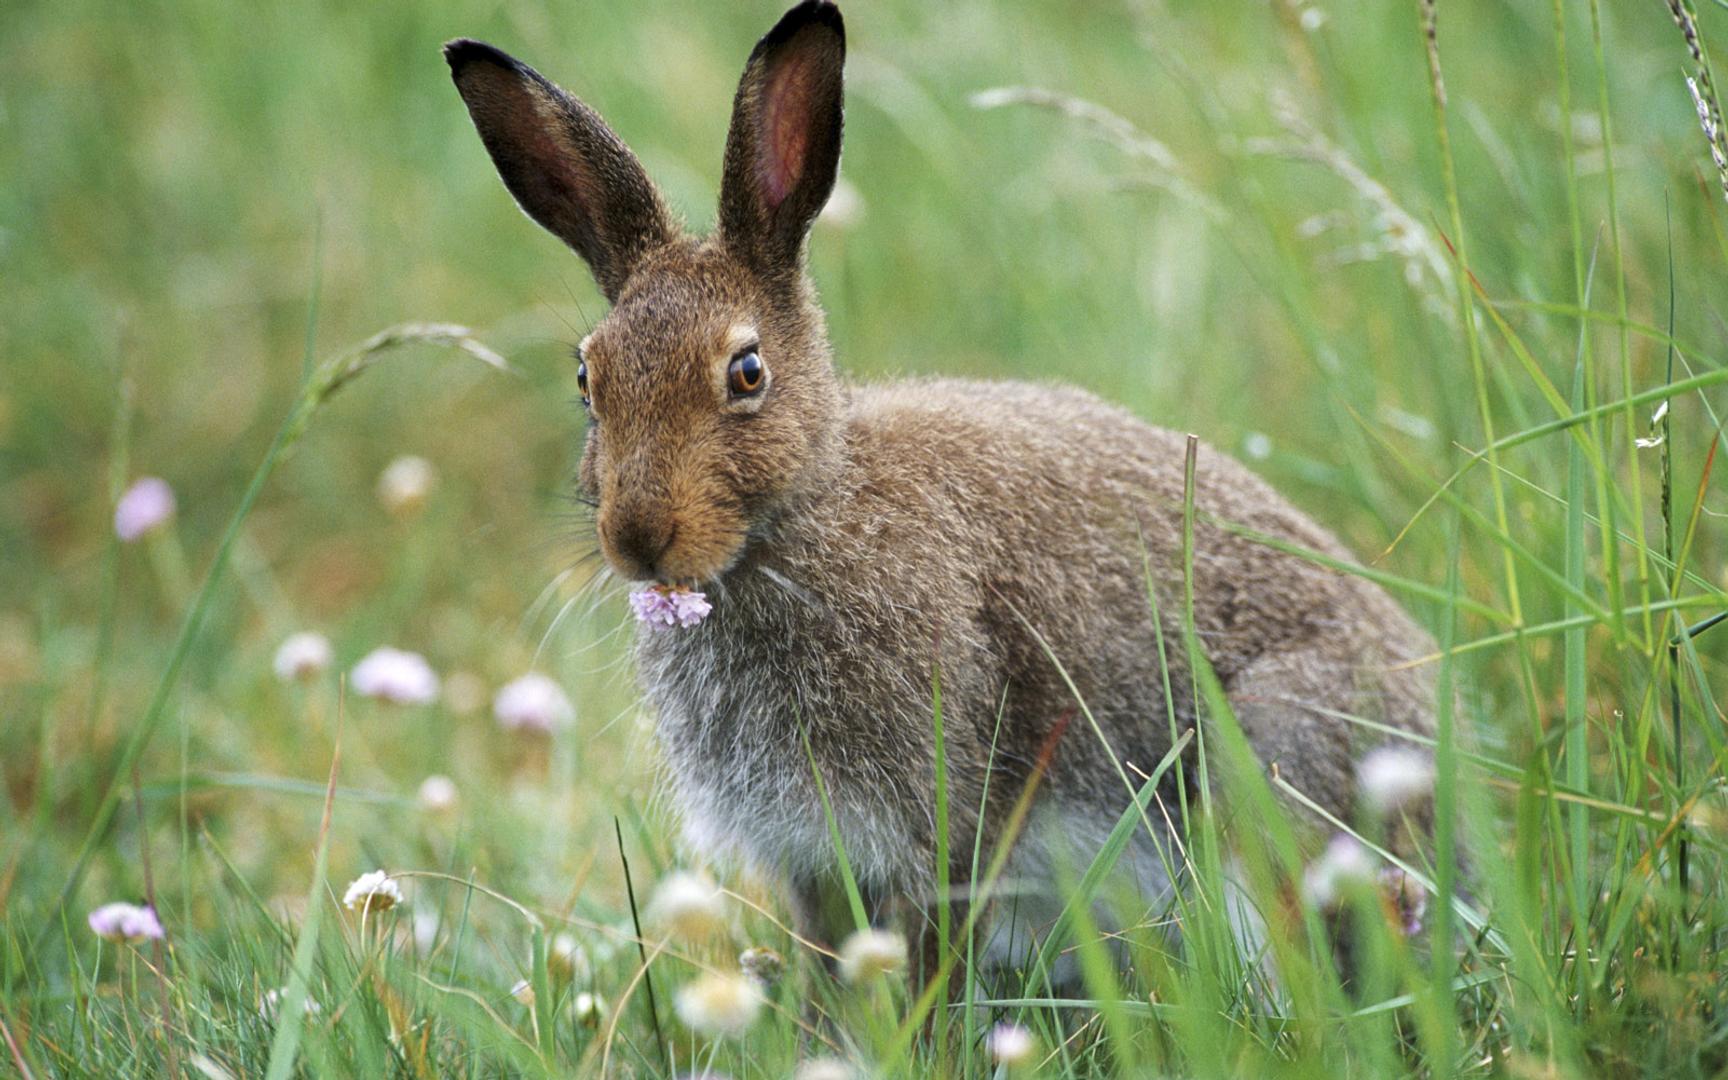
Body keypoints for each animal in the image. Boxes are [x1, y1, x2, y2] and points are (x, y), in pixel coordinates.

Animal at [445, 0, 1437, 992]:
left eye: (747, 372)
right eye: (587, 378)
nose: (638, 536)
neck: (800, 526)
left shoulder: (944, 828)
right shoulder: (812, 858)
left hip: (1275, 754)